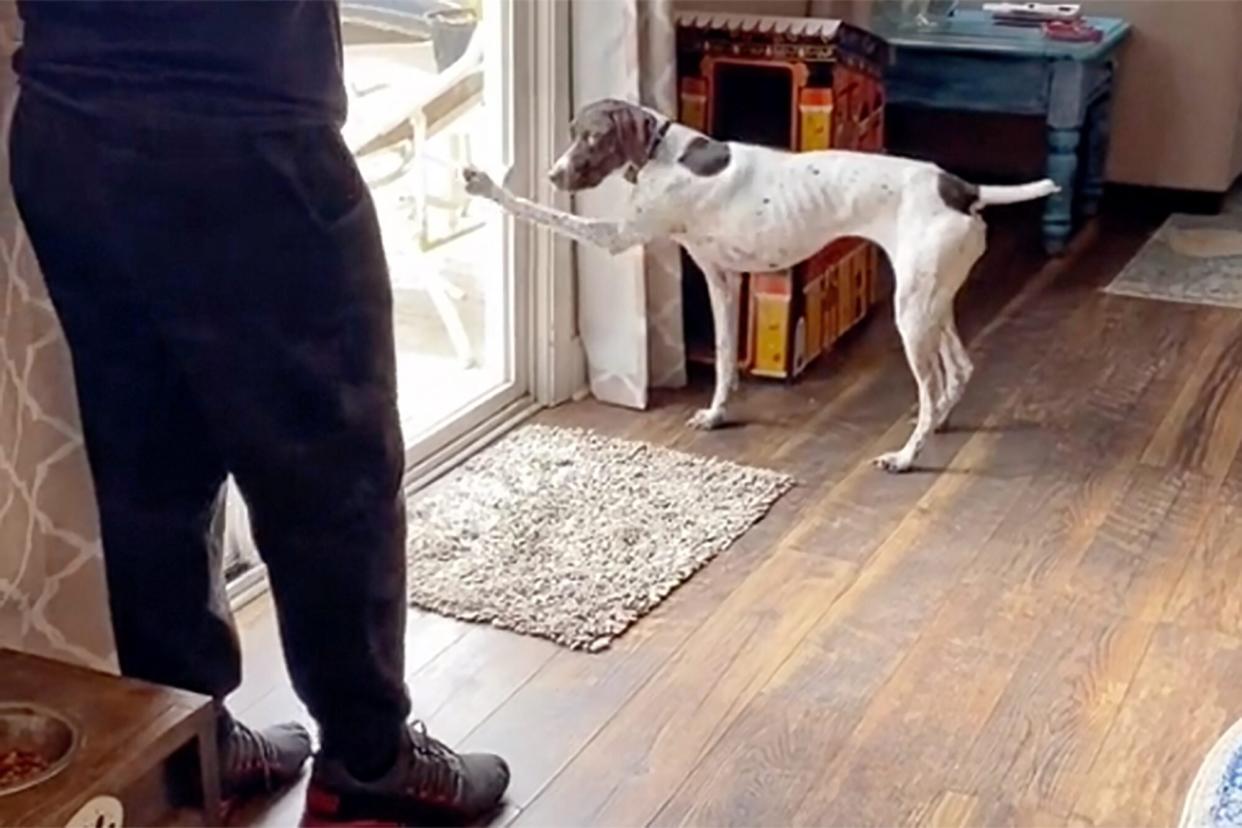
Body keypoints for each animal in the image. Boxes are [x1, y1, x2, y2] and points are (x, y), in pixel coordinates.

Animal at [466, 98, 1058, 471]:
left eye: (592, 136)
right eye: (573, 133)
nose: (554, 175)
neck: (665, 151)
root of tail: (964, 188)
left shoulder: (615, 237)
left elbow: (538, 212)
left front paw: (489, 184)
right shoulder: (721, 279)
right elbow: (726, 358)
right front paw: (717, 412)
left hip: (912, 314)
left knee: (933, 386)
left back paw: (908, 456)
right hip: (932, 302)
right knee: (958, 371)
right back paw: (938, 425)